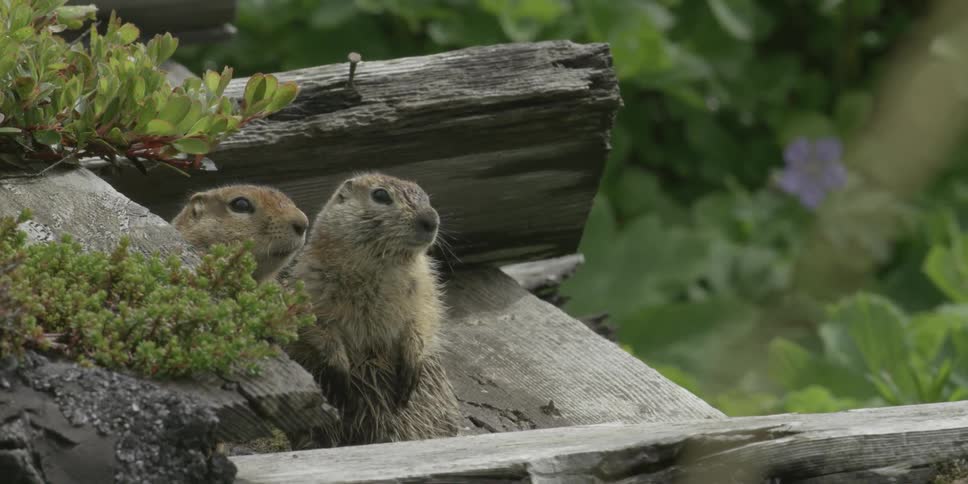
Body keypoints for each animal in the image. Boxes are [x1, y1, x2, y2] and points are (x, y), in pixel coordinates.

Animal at [285, 172, 461, 447]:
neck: (379, 267)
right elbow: (313, 324)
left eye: (426, 196)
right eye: (380, 195)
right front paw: (340, 369)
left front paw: (412, 363)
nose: (431, 220)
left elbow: (425, 317)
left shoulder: (425, 285)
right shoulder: (308, 281)